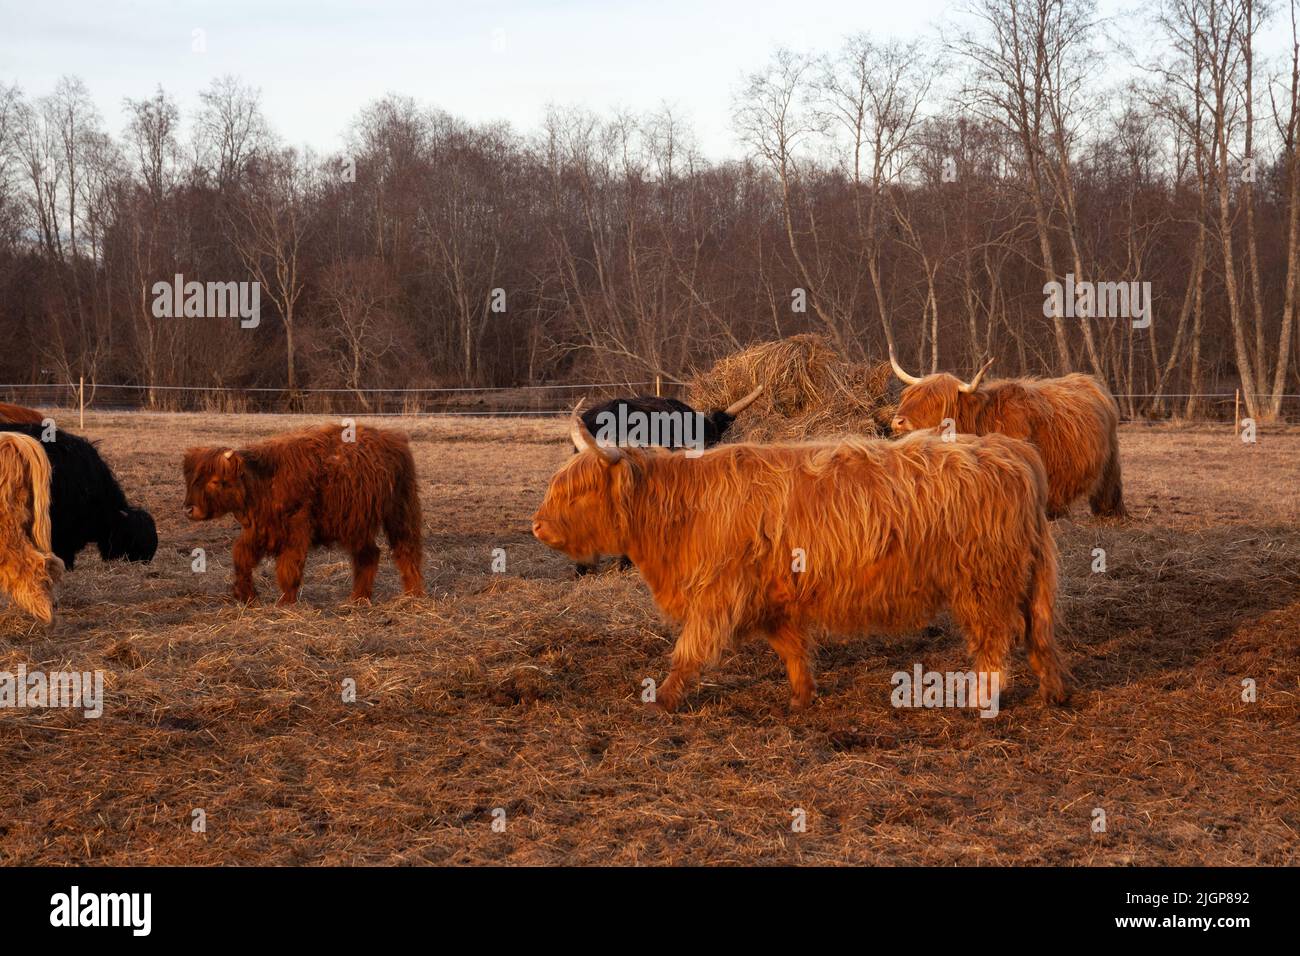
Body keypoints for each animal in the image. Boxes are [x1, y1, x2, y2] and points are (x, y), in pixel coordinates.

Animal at [183, 426, 423, 606]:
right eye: (191, 480)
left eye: (215, 481)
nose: (188, 509)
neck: (262, 480)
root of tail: (395, 439)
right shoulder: (258, 529)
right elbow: (242, 557)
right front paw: (246, 595)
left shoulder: (296, 529)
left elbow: (289, 566)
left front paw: (286, 602)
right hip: (356, 523)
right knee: (368, 555)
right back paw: (358, 598)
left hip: (400, 512)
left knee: (407, 550)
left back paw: (413, 594)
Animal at [533, 413, 1071, 717]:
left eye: (576, 491)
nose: (536, 525)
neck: (680, 511)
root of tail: (1010, 449)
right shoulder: (772, 597)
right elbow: (791, 651)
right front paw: (801, 699)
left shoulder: (717, 593)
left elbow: (690, 650)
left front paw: (662, 700)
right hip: (1023, 578)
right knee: (1037, 634)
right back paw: (1053, 693)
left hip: (982, 583)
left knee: (994, 642)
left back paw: (982, 702)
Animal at [883, 356, 1128, 520]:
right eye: (909, 395)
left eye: (937, 402)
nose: (898, 421)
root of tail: (1090, 381)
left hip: (1110, 459)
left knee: (1108, 485)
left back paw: (1110, 514)